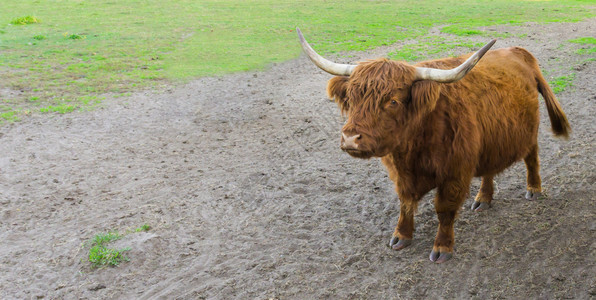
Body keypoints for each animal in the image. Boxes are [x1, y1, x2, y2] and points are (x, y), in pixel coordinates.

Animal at [298, 28, 568, 262]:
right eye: (352, 98)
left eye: (393, 101)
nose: (350, 138)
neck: (413, 149)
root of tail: (518, 52)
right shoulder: (402, 174)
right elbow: (406, 203)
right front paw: (401, 236)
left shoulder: (455, 172)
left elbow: (444, 210)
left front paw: (442, 247)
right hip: (489, 140)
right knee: (488, 170)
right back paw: (483, 199)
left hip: (529, 133)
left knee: (532, 157)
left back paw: (533, 189)